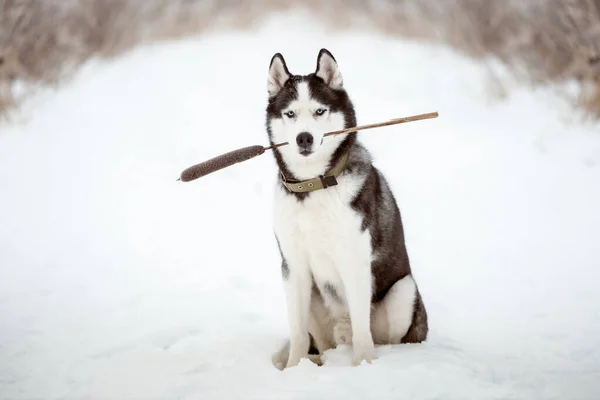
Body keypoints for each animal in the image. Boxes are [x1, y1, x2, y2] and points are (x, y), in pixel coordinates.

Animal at [268, 47, 426, 368]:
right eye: (290, 114)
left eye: (320, 111)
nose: (304, 138)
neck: (313, 186)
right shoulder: (294, 267)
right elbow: (298, 332)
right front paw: (293, 369)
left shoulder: (356, 262)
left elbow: (362, 331)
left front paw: (363, 366)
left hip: (403, 291)